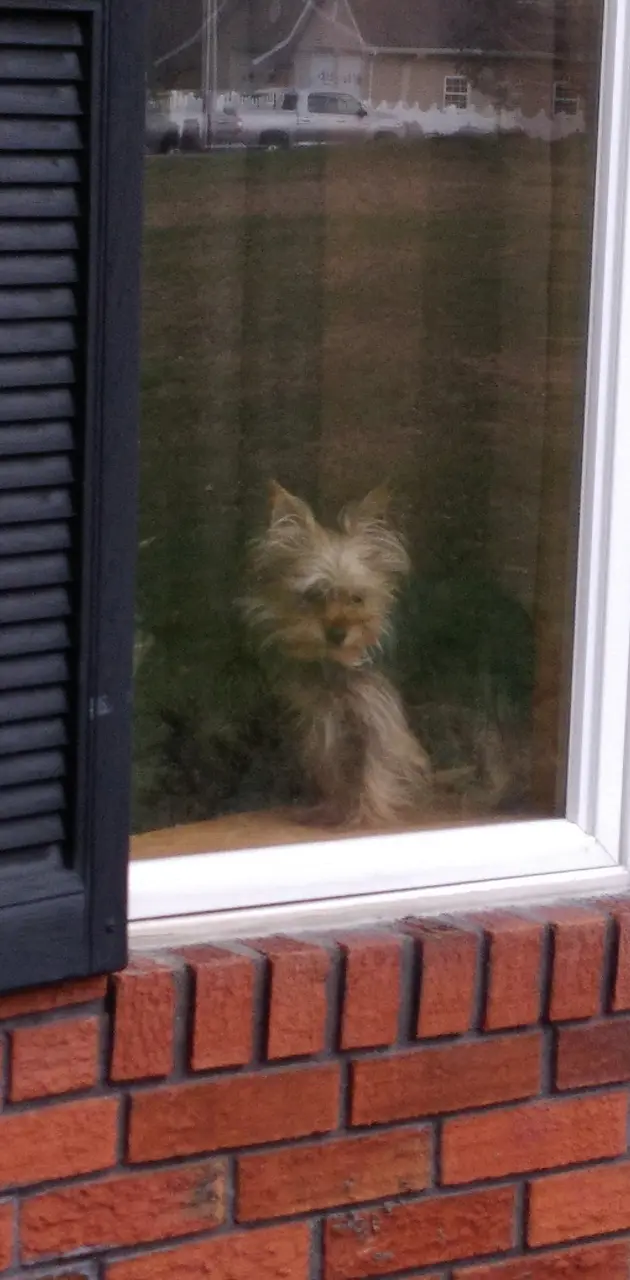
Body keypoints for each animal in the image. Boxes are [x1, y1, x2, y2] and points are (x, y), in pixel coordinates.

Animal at [238, 481, 430, 829]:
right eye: (313, 595)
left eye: (357, 598)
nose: (337, 634)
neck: (336, 666)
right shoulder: (324, 717)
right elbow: (333, 766)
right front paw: (334, 809)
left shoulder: (379, 716)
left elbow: (376, 766)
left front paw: (367, 816)